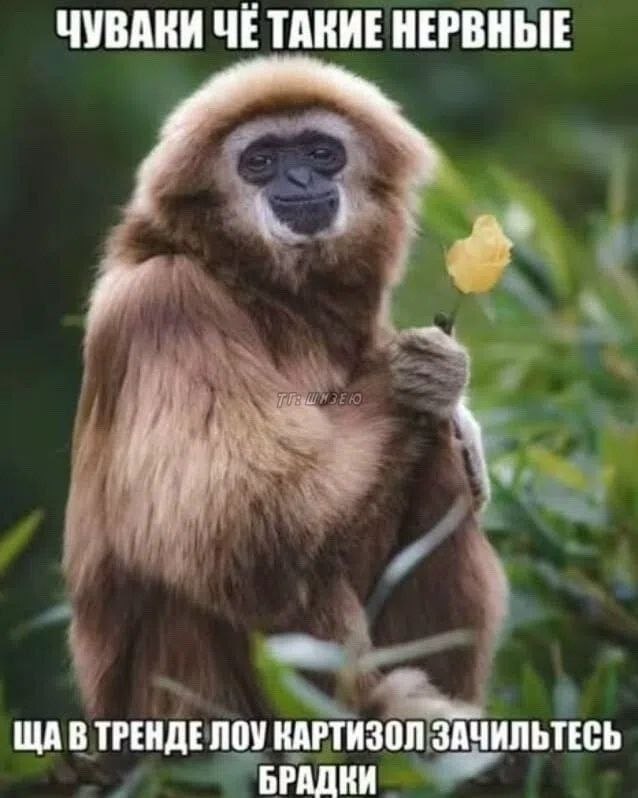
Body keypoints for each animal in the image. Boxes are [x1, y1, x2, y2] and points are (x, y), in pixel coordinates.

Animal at [63, 56, 507, 721]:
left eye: (321, 152)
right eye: (261, 160)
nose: (297, 177)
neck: (262, 291)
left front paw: (455, 406)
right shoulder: (164, 304)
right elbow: (242, 515)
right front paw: (420, 371)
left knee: (433, 460)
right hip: (180, 698)